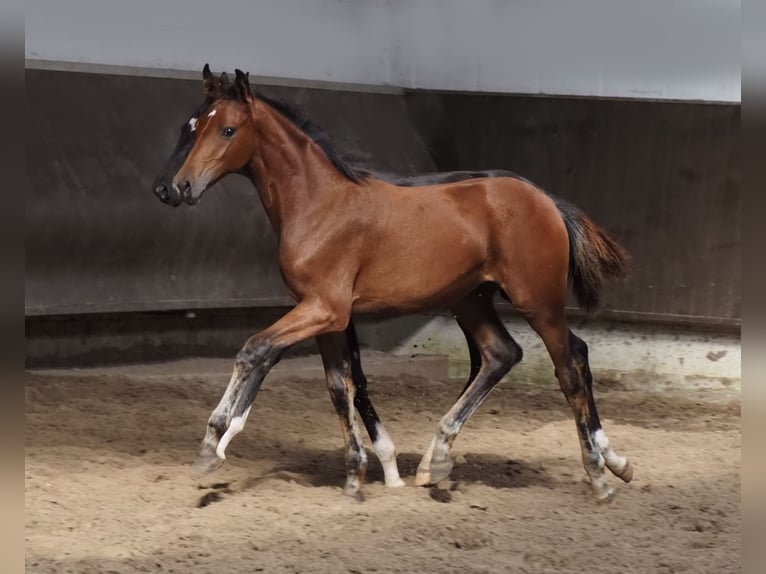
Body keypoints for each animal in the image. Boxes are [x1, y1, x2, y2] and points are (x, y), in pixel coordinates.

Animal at [152, 65, 636, 502]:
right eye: (189, 127)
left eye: (228, 130)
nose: (174, 187)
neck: (319, 204)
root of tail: (545, 199)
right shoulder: (326, 315)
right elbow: (339, 385)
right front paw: (355, 474)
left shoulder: (323, 308)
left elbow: (256, 349)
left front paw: (212, 442)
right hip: (471, 300)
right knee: (502, 354)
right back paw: (437, 461)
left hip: (538, 301)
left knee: (569, 365)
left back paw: (599, 475)